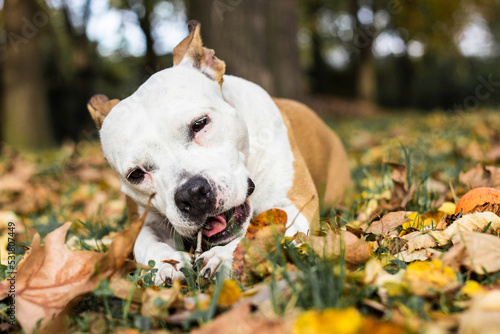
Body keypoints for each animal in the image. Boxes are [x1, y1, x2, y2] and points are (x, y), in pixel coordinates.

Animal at [87, 20, 352, 284]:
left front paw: (225, 256)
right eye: (136, 174)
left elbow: (262, 232)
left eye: (199, 124)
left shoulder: (294, 204)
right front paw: (165, 265)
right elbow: (145, 244)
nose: (192, 194)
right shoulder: (143, 224)